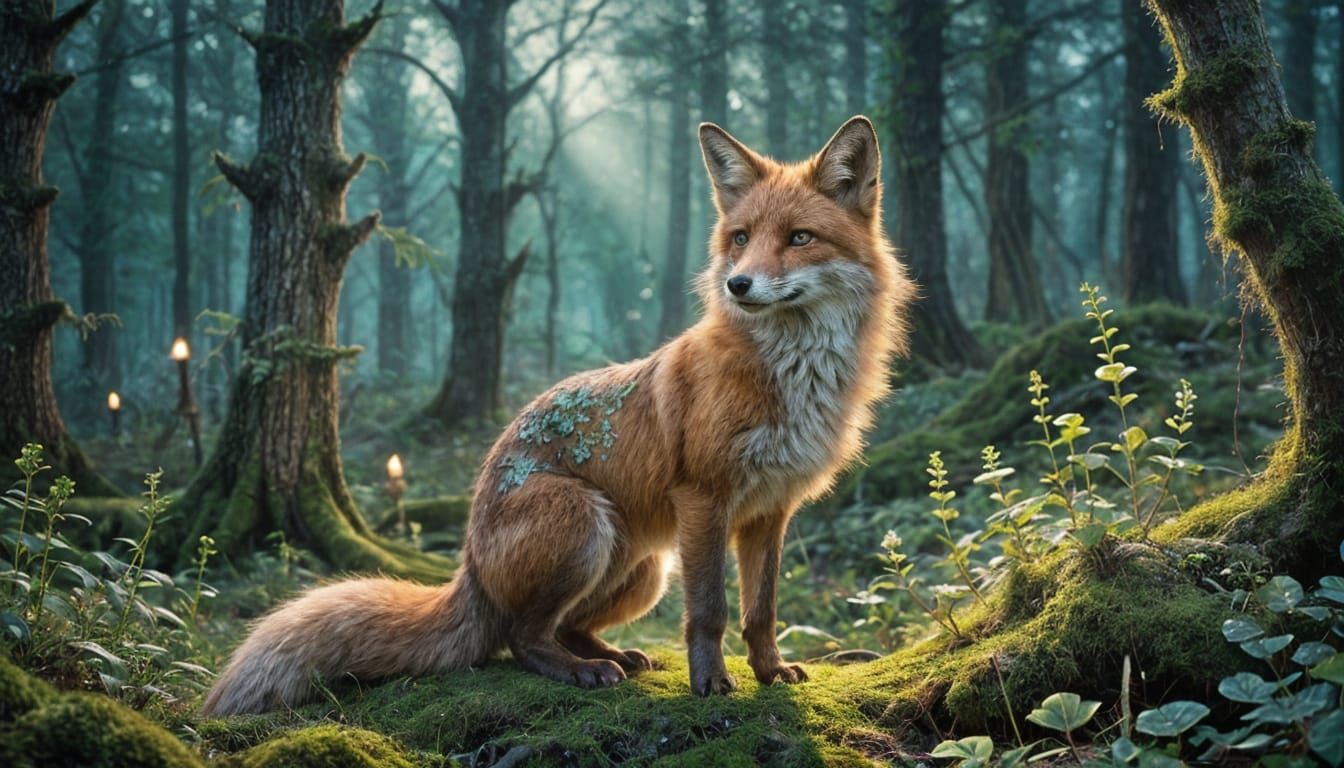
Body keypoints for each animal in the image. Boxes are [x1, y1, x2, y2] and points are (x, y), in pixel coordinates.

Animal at [201, 116, 914, 716]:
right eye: (740, 239)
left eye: (799, 238)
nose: (738, 284)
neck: (792, 373)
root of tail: (468, 563)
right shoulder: (705, 497)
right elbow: (710, 612)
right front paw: (711, 682)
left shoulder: (770, 509)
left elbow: (761, 609)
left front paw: (769, 673)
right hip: (586, 522)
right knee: (521, 638)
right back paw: (580, 671)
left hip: (646, 566)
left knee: (566, 625)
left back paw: (614, 656)